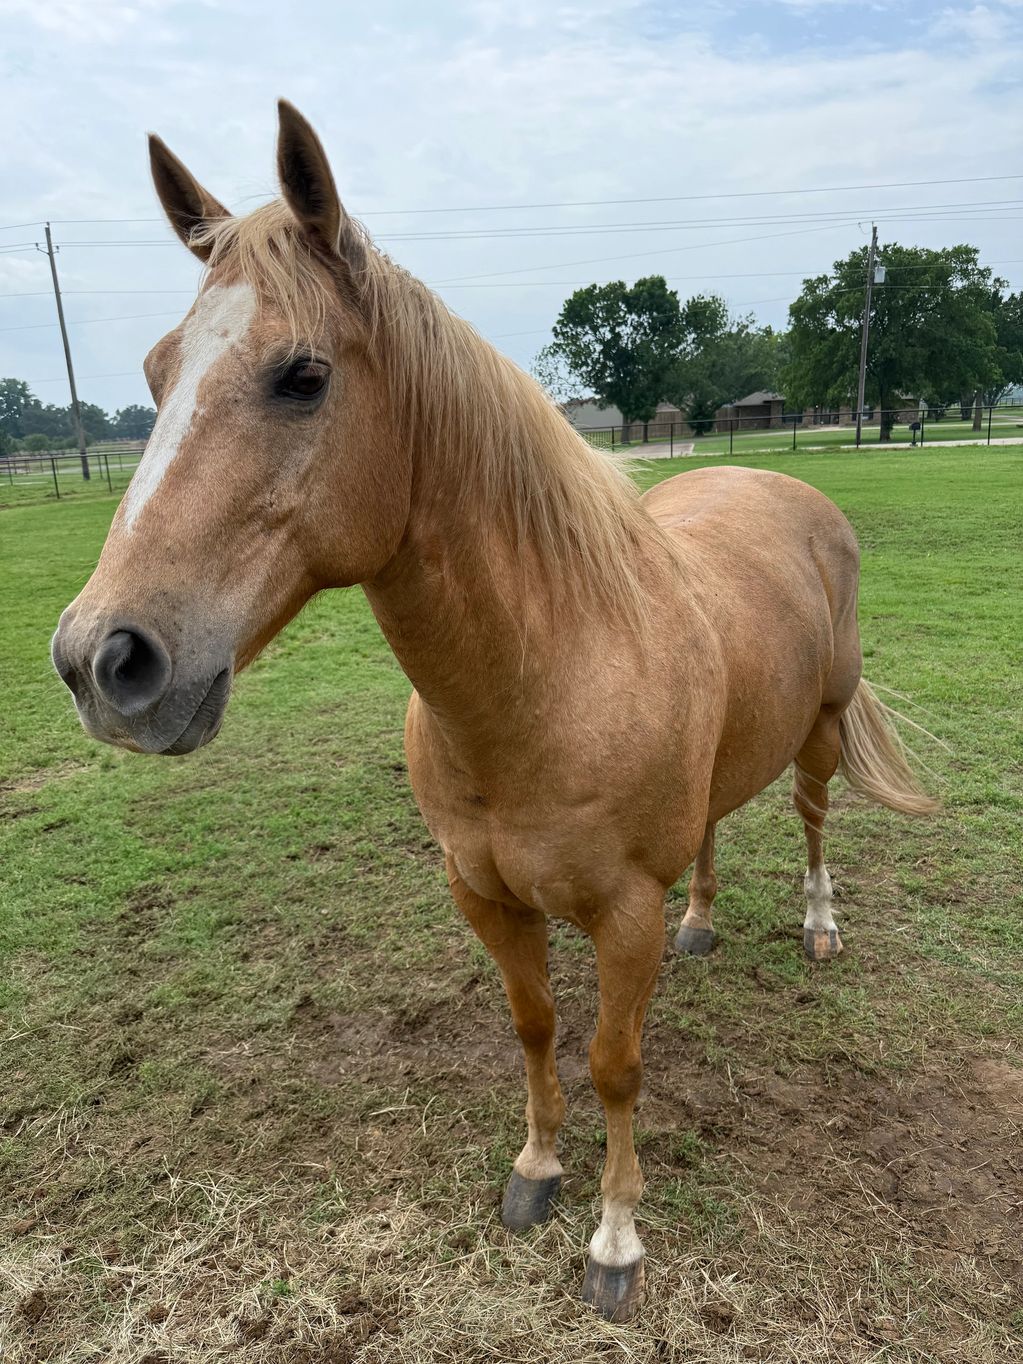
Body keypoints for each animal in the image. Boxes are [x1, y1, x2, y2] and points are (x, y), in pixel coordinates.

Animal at [51, 102, 935, 1322]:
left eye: (302, 375)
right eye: (155, 370)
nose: (101, 659)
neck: (546, 682)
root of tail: (781, 483)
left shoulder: (619, 914)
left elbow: (614, 1060)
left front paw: (614, 1237)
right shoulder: (484, 896)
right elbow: (535, 1027)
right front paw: (537, 1170)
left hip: (821, 725)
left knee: (810, 819)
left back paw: (817, 925)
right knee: (711, 831)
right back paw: (703, 921)